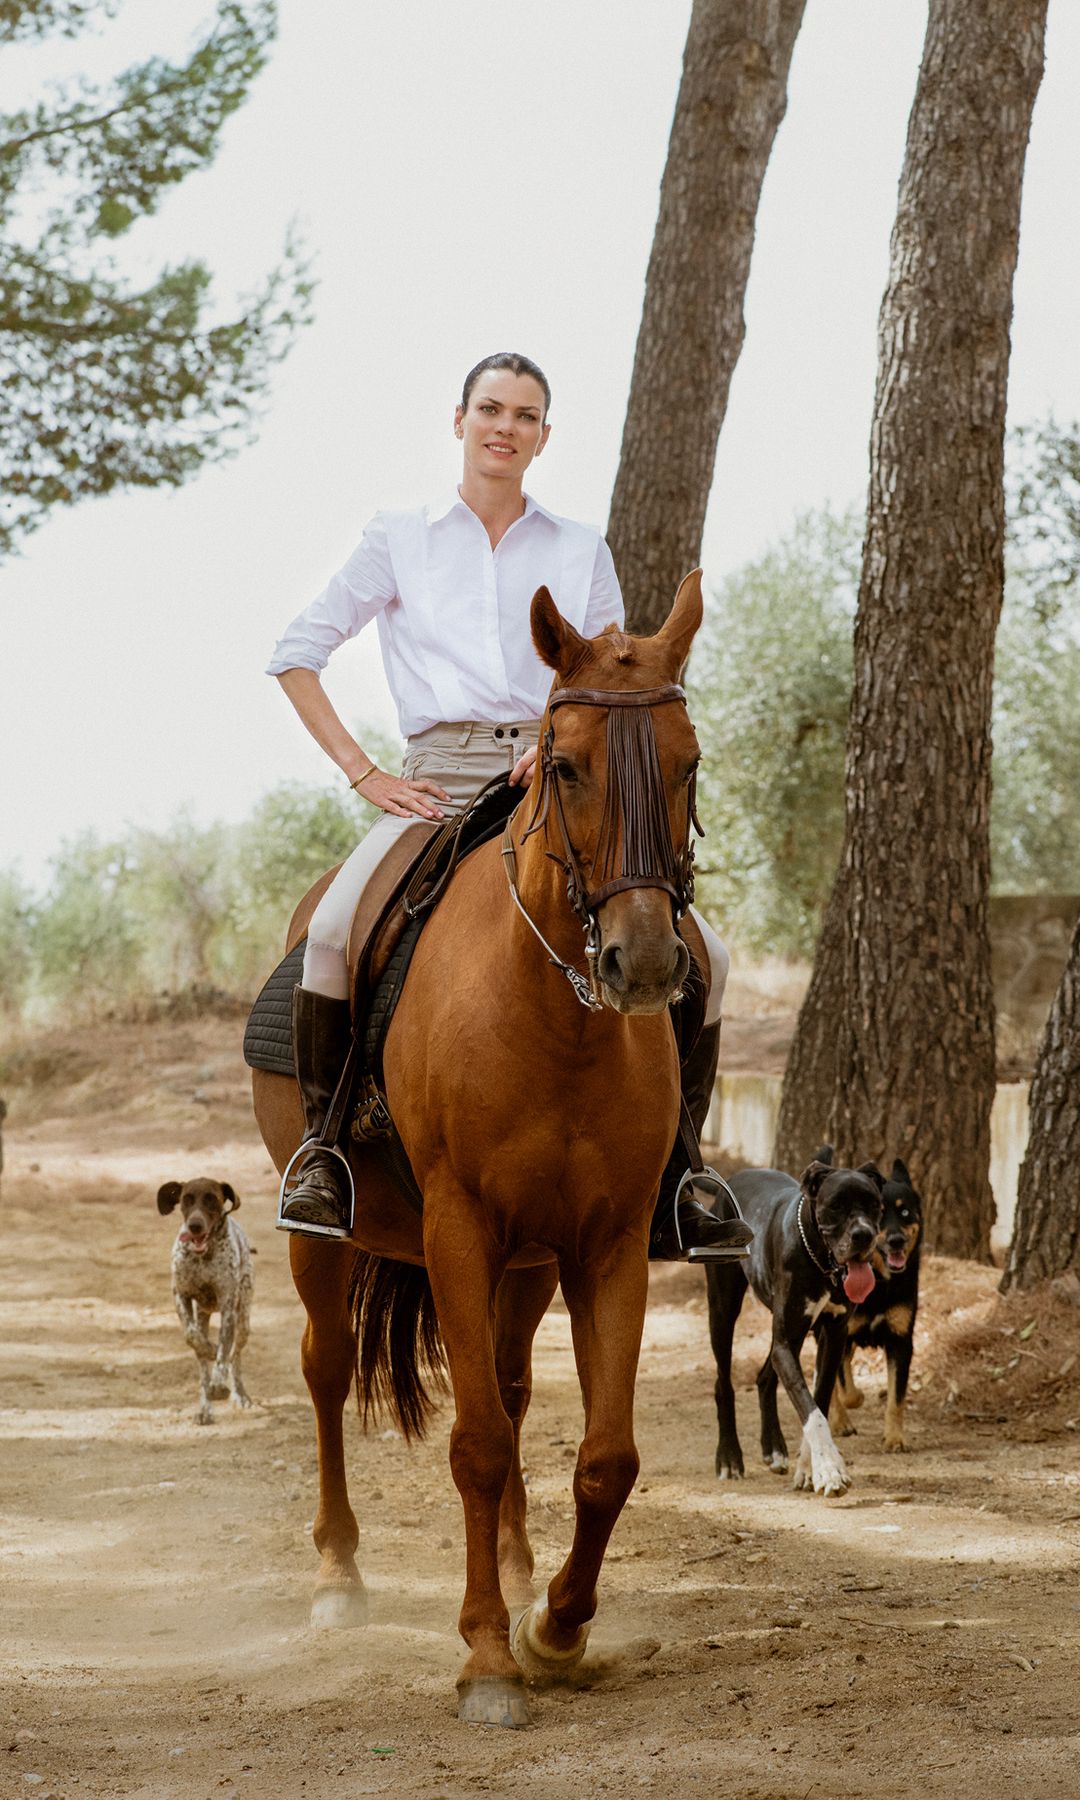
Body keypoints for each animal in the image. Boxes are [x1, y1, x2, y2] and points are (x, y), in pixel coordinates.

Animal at [155, 1173, 253, 1425]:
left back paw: (240, 1394)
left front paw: (219, 1383)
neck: (204, 1256)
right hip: (202, 1314)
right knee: (202, 1367)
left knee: (235, 1358)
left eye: (212, 1199)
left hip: (243, 1319)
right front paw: (209, 1348)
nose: (195, 1225)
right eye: (186, 1199)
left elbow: (224, 1356)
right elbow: (192, 1337)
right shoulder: (181, 1295)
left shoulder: (228, 1306)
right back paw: (205, 1408)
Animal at [253, 576, 709, 1728]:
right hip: (324, 1243)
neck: (556, 1020)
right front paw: (489, 1660)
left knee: (505, 1387)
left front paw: (555, 1627)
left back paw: (513, 1569)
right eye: (566, 762)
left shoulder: (606, 1247)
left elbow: (603, 1456)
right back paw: (339, 1576)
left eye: (687, 760)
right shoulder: (459, 1229)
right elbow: (476, 1445)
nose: (642, 962)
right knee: (328, 1371)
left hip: (528, 1266)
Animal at [705, 1152, 882, 1490]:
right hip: (723, 1309)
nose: (864, 1234)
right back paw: (729, 1458)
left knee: (765, 1377)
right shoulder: (786, 1341)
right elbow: (809, 1408)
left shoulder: (831, 1337)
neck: (820, 1262)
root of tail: (733, 1178)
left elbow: (818, 1401)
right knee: (724, 1383)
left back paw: (773, 1449)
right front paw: (829, 1469)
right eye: (836, 1205)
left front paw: (810, 1467)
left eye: (874, 1204)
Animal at [828, 1159, 918, 1454]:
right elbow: (846, 1389)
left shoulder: (901, 1341)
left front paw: (895, 1438)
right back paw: (839, 1421)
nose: (896, 1240)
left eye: (905, 1211)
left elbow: (896, 1399)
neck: (879, 1284)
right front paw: (850, 1404)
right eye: (878, 1212)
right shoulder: (839, 1332)